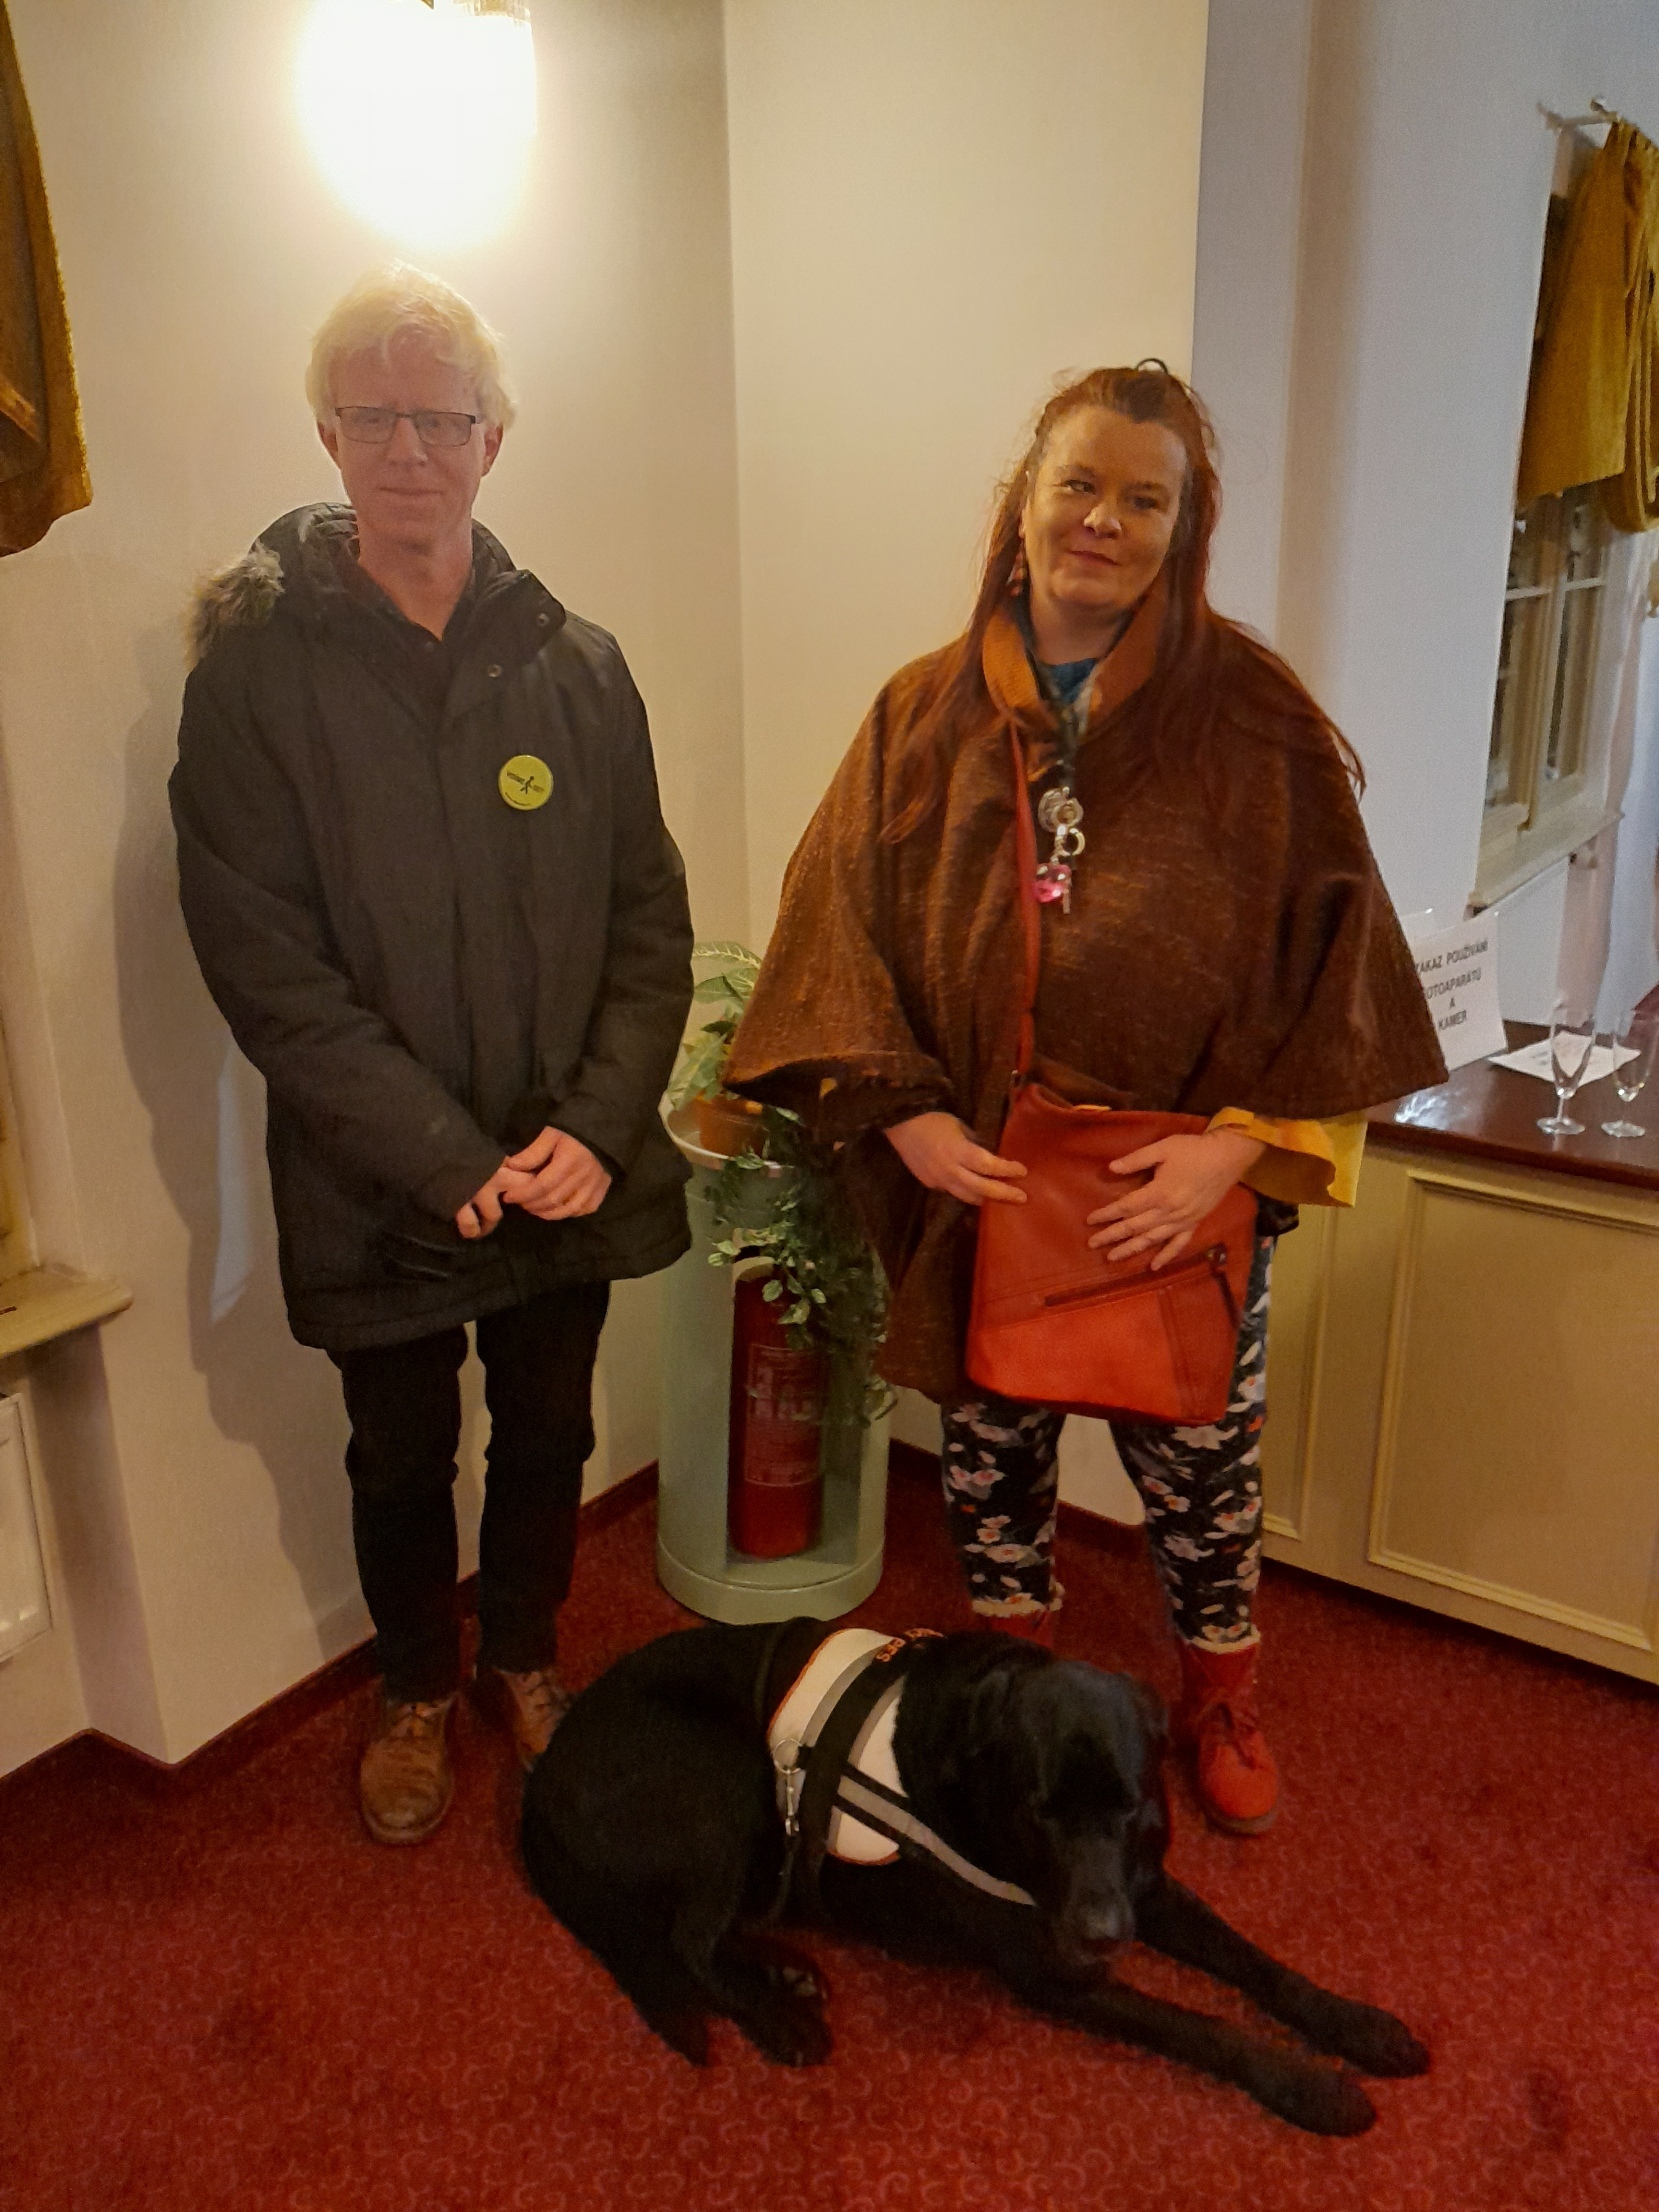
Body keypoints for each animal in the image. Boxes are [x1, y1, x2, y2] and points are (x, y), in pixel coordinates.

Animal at [521, 1620, 1428, 2135]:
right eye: (1042, 1811)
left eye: (1127, 1802)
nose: (1101, 1934)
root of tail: (542, 1771)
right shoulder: (1053, 1971)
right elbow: (1203, 2025)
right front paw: (1312, 2089)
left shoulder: (1145, 1888)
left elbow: (1256, 1963)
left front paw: (1356, 2026)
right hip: (728, 1776)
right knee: (687, 1940)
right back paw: (780, 2018)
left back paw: (784, 1970)